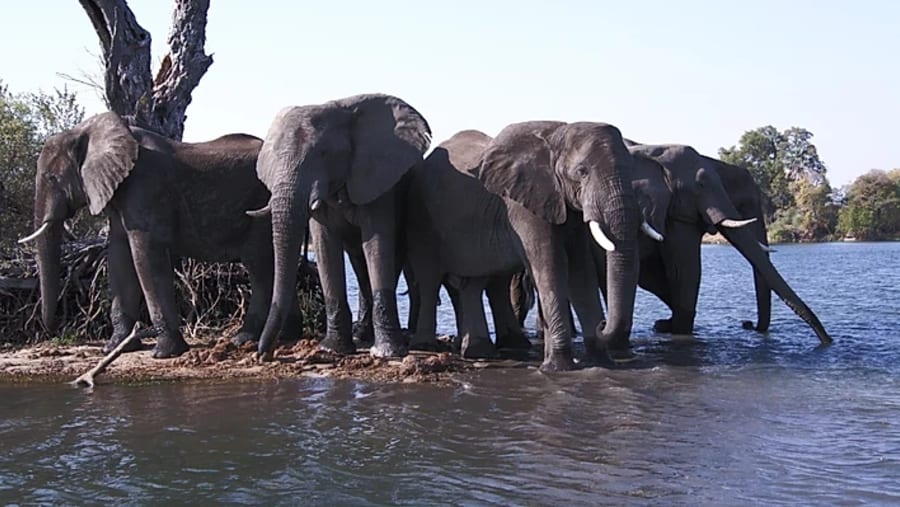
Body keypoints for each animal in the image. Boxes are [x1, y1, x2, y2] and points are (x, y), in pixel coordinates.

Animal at [21, 112, 302, 358]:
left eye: (52, 177)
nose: (53, 328)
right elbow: (119, 255)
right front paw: (113, 348)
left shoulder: (146, 186)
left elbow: (145, 255)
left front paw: (163, 353)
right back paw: (288, 336)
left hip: (261, 208)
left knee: (259, 266)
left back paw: (244, 339)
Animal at [252, 93, 431, 360]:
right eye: (274, 156)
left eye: (325, 153)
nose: (262, 354)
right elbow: (325, 245)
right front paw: (333, 349)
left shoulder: (377, 180)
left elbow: (377, 243)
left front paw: (387, 353)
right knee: (359, 262)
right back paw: (362, 334)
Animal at [626, 143, 832, 344]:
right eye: (701, 184)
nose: (748, 323)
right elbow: (684, 271)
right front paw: (673, 327)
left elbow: (663, 275)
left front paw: (664, 325)